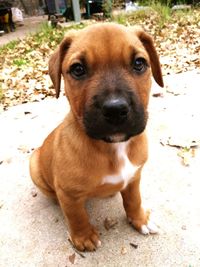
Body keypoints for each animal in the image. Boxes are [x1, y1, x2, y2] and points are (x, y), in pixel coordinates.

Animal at [30, 23, 164, 253]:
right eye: (78, 69)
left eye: (139, 63)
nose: (115, 110)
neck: (114, 146)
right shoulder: (69, 193)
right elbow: (76, 216)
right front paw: (83, 237)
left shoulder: (134, 177)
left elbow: (134, 201)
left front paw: (140, 220)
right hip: (34, 165)